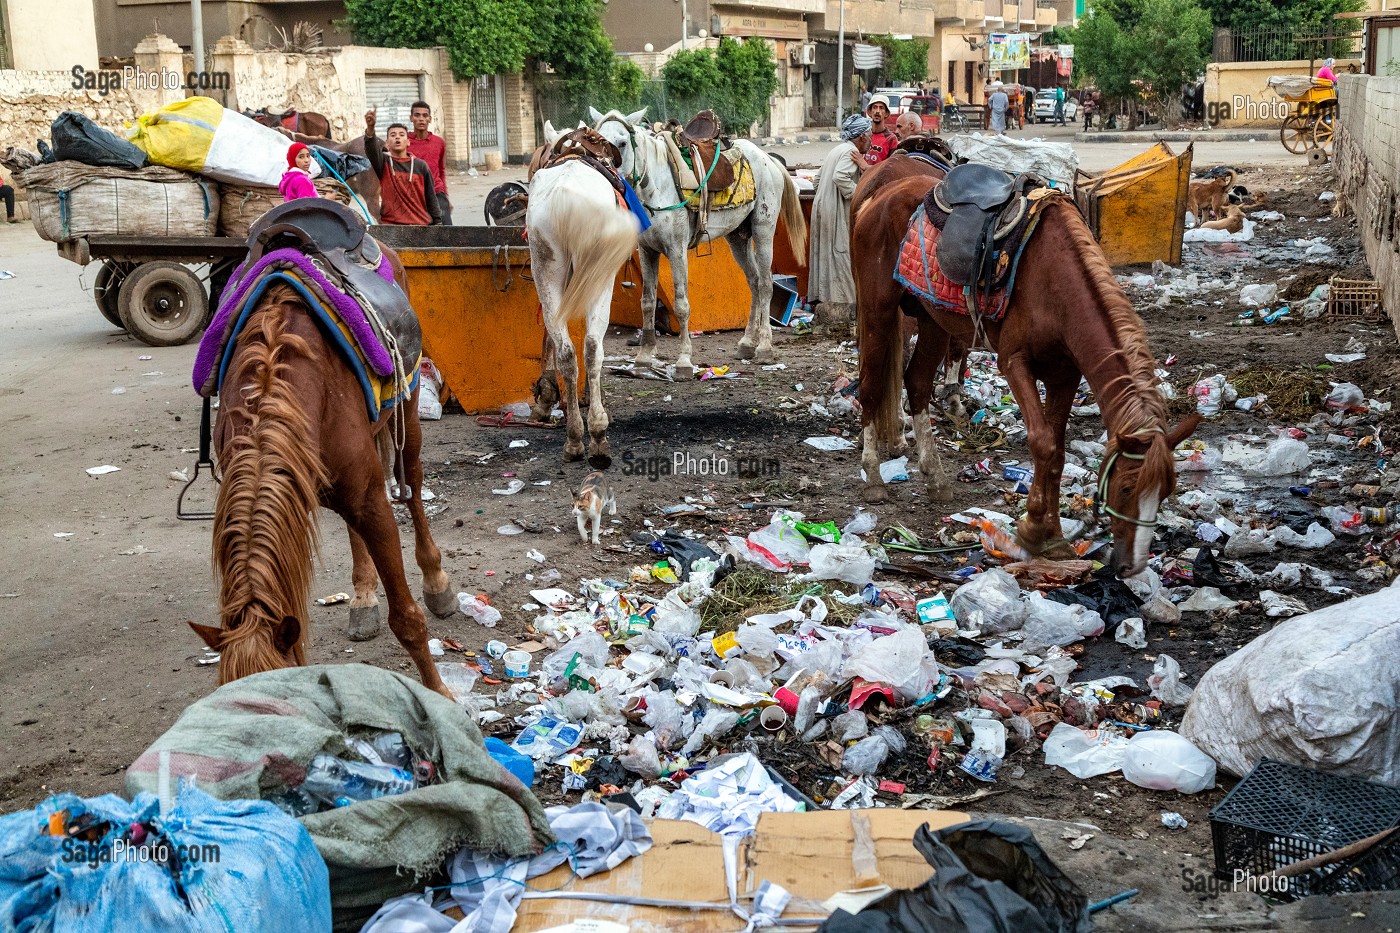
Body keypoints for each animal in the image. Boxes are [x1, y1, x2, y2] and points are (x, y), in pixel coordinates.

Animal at [190, 257, 453, 686]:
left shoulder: (370, 502)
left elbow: (407, 619)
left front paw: (440, 693)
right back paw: (363, 598)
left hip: (408, 410)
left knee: (412, 483)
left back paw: (436, 582)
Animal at [590, 107, 812, 369]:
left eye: (622, 143)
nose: (604, 176)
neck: (656, 187)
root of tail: (770, 160)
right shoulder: (647, 250)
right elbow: (647, 301)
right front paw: (644, 355)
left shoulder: (676, 250)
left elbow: (681, 304)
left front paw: (684, 359)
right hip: (738, 237)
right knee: (754, 281)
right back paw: (747, 342)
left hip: (764, 229)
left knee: (766, 284)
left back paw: (765, 347)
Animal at [851, 151, 1204, 574]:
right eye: (1125, 488)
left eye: (1166, 491)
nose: (1132, 566)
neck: (1056, 282)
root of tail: (881, 192)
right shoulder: (1014, 362)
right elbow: (1043, 443)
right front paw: (1034, 532)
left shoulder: (1065, 374)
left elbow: (1058, 453)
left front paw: (1053, 537)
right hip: (878, 311)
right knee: (871, 388)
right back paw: (873, 477)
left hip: (932, 319)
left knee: (917, 384)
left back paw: (935, 476)